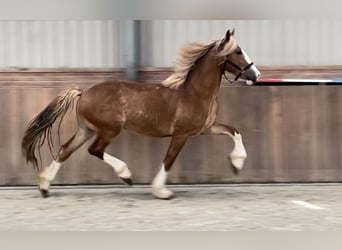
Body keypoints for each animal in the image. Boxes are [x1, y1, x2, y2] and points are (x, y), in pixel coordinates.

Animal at [21, 30, 260, 199]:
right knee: (95, 150)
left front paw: (237, 164)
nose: (256, 75)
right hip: (109, 130)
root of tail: (83, 93)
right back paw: (126, 175)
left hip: (86, 129)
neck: (195, 93)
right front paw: (161, 192)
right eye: (238, 51)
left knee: (65, 150)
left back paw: (44, 187)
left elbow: (235, 131)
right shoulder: (182, 134)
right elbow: (168, 160)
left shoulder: (205, 128)